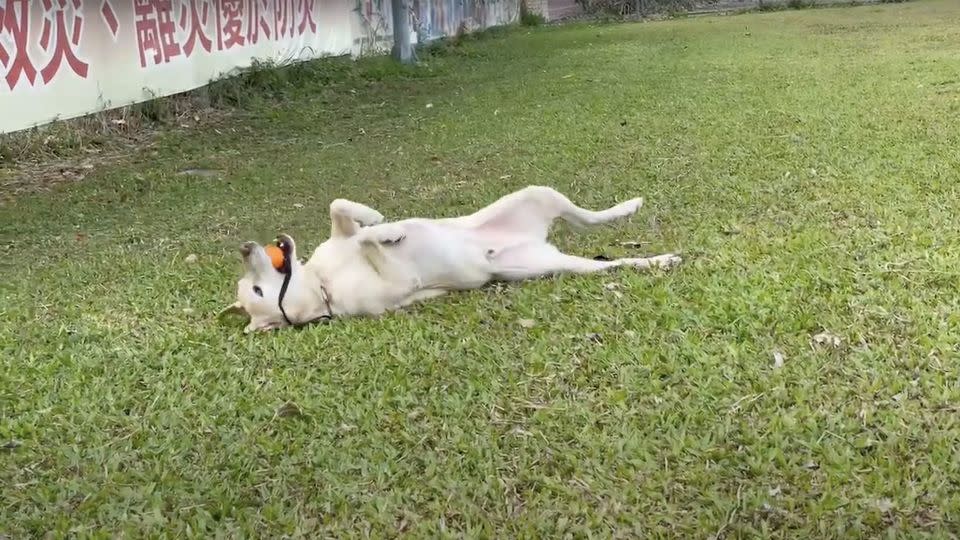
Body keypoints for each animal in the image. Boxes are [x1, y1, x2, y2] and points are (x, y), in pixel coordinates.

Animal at [221, 185, 680, 334]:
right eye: (258, 290)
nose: (245, 248)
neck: (323, 282)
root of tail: (534, 242)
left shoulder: (340, 237)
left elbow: (344, 213)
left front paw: (379, 220)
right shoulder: (396, 284)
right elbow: (371, 243)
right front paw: (388, 232)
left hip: (538, 194)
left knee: (589, 217)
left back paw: (628, 207)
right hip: (546, 266)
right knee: (608, 263)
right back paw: (658, 260)